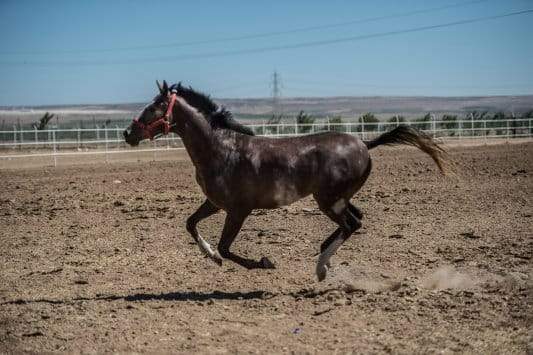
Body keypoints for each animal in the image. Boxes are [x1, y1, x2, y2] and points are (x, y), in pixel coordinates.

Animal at [122, 80, 446, 280]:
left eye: (153, 107)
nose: (127, 133)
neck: (221, 150)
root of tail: (365, 143)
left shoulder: (238, 210)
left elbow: (227, 247)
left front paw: (263, 263)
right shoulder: (214, 203)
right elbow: (191, 225)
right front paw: (211, 256)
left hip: (328, 200)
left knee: (351, 224)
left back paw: (320, 267)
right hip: (339, 198)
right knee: (357, 219)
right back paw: (324, 254)